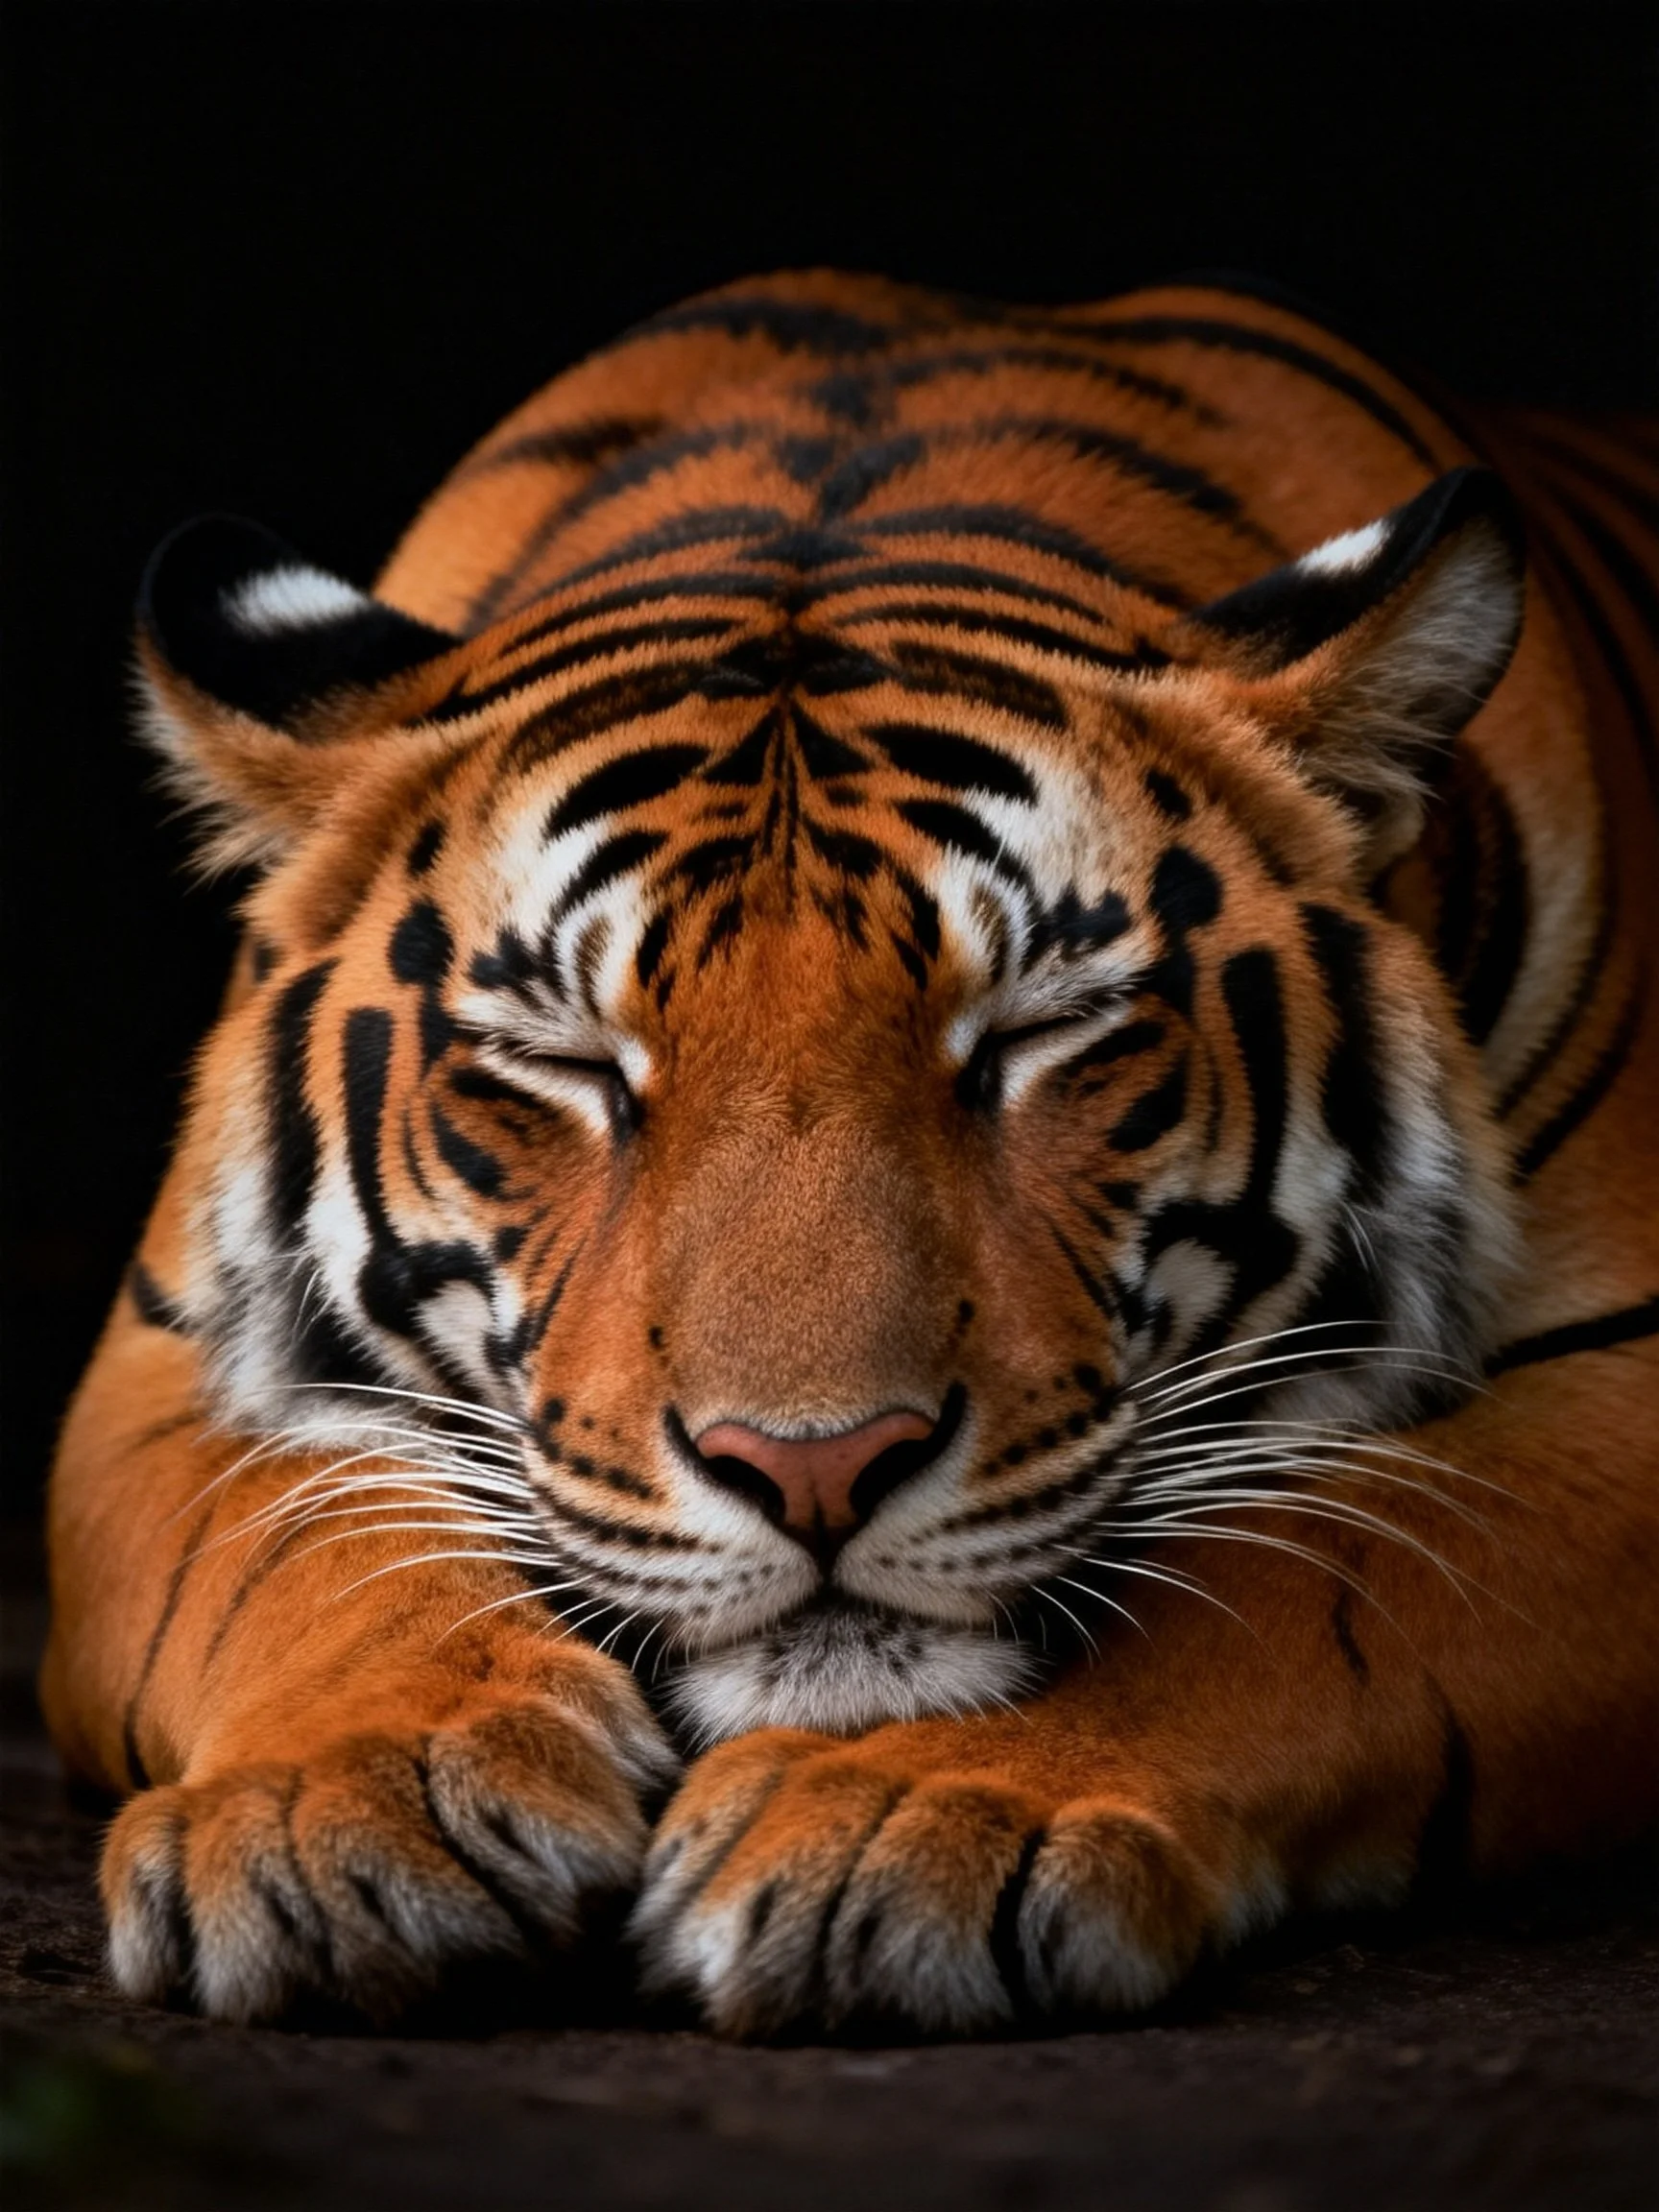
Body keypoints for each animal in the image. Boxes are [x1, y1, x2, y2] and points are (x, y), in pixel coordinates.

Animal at [42, 271, 1659, 2037]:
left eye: (1035, 1032)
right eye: (568, 1062)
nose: (814, 1465)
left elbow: (1308, 1563)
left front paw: (913, 1811)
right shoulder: (156, 1370)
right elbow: (294, 1539)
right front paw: (348, 1807)